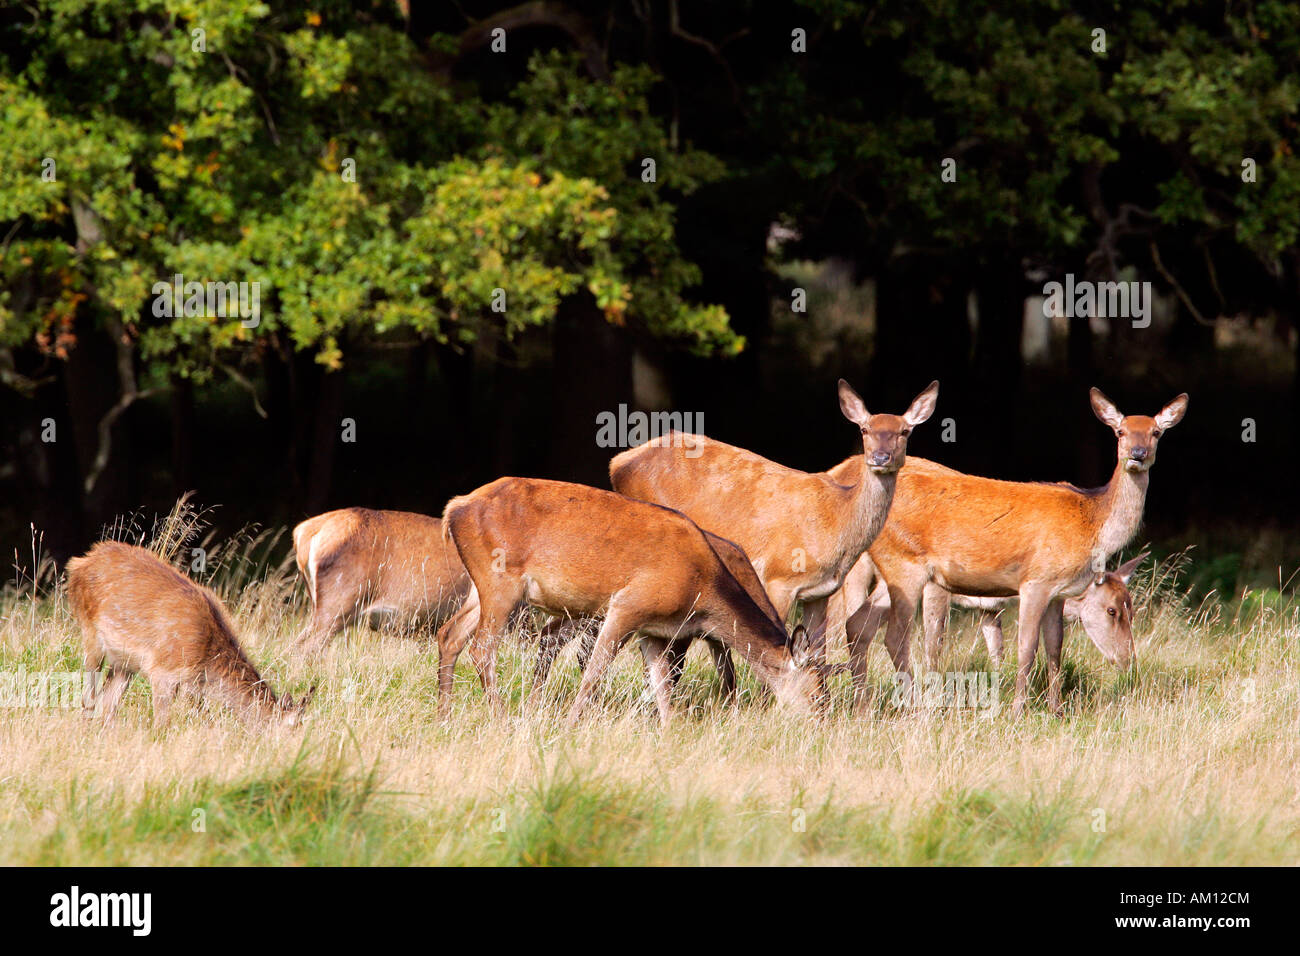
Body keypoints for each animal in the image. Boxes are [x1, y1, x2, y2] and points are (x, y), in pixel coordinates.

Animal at [67, 538, 308, 733]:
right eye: (291, 729)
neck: (206, 659)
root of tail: (79, 563)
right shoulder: (162, 671)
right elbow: (162, 725)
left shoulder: (191, 686)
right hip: (90, 633)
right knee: (89, 696)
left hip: (124, 662)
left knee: (108, 703)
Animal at [436, 478, 821, 723]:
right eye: (818, 692)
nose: (821, 724)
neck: (701, 589)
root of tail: (454, 508)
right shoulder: (629, 605)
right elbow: (595, 670)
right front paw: (570, 725)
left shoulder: (654, 630)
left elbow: (662, 682)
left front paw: (671, 732)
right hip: (501, 580)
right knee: (482, 648)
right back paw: (501, 719)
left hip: (480, 586)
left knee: (450, 634)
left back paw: (446, 718)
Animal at [603, 377, 941, 660]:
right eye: (865, 430)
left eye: (904, 431)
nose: (880, 457)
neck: (835, 522)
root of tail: (617, 462)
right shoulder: (778, 577)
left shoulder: (820, 592)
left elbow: (818, 655)